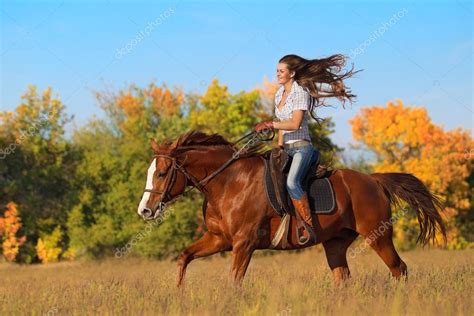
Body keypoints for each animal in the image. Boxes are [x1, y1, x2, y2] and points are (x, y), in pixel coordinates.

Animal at [135, 131, 446, 286]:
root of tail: (374, 180)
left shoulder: (243, 243)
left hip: (378, 236)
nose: (145, 211)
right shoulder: (219, 239)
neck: (229, 182)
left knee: (399, 269)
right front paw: (178, 294)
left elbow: (234, 281)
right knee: (343, 278)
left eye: (161, 173)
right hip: (336, 243)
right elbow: (184, 258)